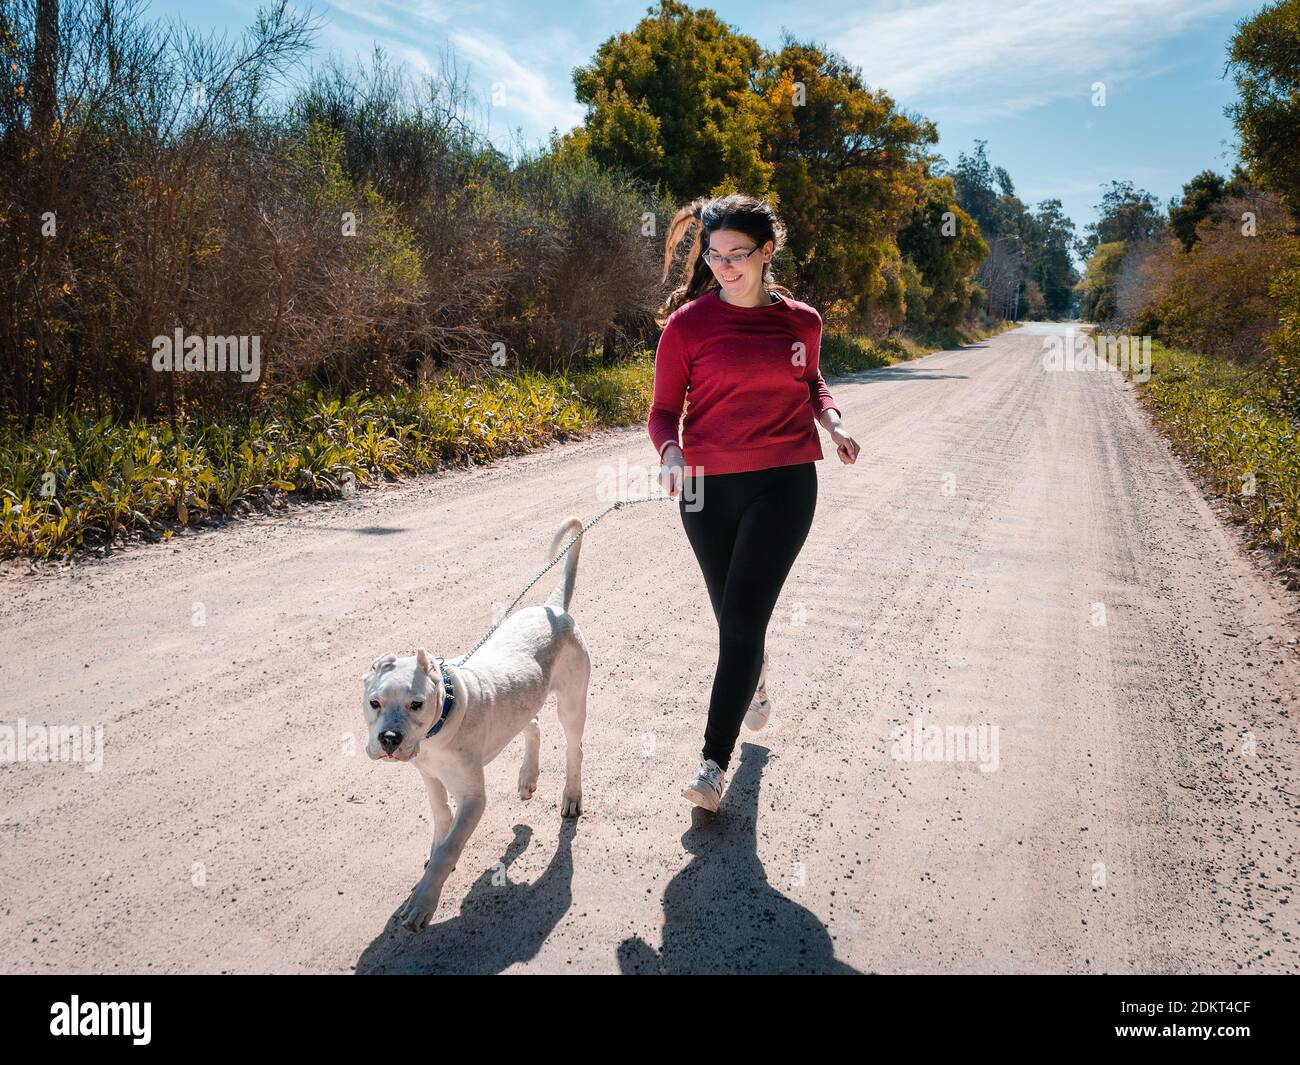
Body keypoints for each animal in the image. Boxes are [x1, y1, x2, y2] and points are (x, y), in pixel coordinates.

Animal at [364, 517, 592, 931]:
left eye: (416, 704)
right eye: (374, 703)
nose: (388, 738)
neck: (441, 721)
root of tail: (553, 608)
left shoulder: (473, 798)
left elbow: (450, 847)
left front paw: (423, 902)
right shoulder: (430, 776)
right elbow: (441, 820)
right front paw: (434, 854)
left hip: (571, 703)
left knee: (573, 747)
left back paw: (571, 796)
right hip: (521, 699)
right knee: (532, 723)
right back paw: (527, 777)